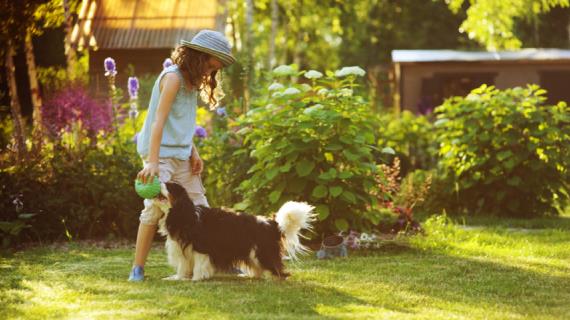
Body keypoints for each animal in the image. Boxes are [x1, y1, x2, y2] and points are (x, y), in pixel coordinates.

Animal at [156, 181, 316, 282]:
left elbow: (199, 265)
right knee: (258, 269)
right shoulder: (181, 249)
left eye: (169, 186)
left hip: (262, 253)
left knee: (277, 269)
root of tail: (272, 223)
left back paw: (275, 278)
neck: (183, 215)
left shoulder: (201, 248)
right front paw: (177, 278)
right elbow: (182, 267)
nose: (158, 181)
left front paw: (195, 279)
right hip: (253, 254)